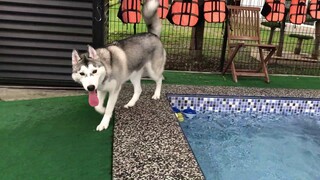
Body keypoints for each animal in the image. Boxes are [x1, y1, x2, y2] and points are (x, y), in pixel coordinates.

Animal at [71, 0, 166, 131]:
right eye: (81, 73)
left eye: (94, 71)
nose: (90, 87)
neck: (107, 68)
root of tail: (152, 34)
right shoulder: (101, 90)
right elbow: (97, 106)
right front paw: (102, 110)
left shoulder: (114, 90)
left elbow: (109, 107)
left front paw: (104, 123)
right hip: (134, 74)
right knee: (138, 89)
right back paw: (131, 103)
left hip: (152, 71)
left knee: (159, 79)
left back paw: (156, 94)